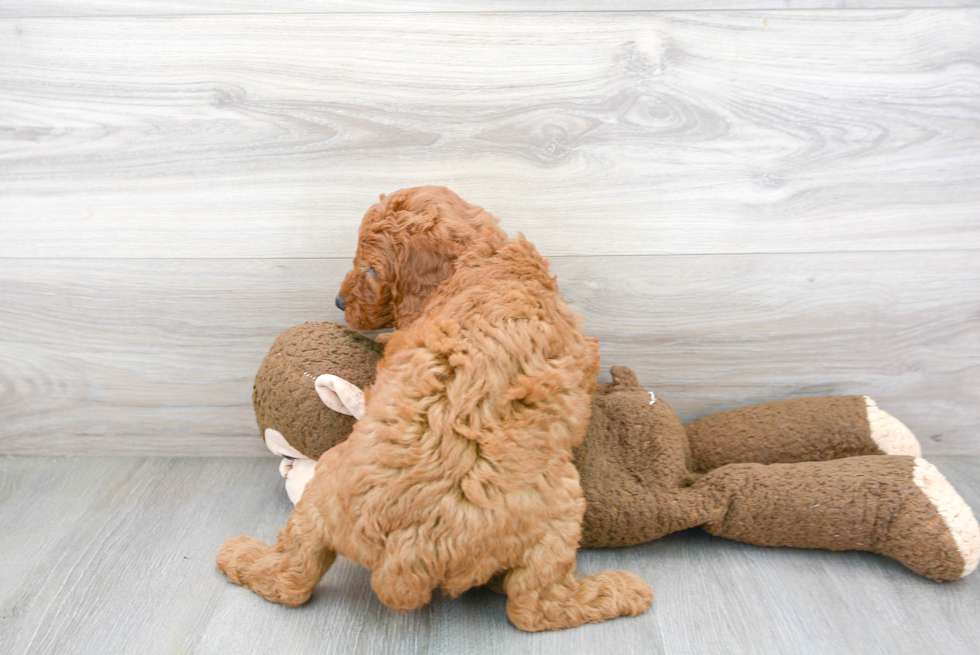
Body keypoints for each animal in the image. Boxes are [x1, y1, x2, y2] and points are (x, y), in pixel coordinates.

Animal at [218, 184, 656, 632]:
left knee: (292, 577)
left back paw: (239, 556)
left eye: (371, 269)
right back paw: (620, 590)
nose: (339, 302)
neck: (483, 258)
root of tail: (409, 551)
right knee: (534, 607)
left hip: (320, 494)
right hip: (563, 509)